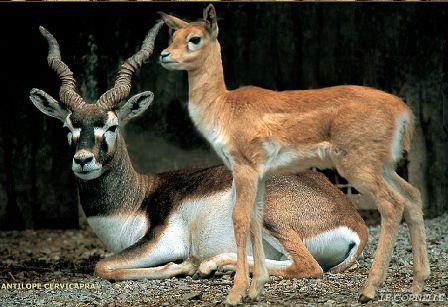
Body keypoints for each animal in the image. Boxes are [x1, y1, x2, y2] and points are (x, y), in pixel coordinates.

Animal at [29, 24, 370, 288]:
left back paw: (209, 264)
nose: (83, 160)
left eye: (112, 126)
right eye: (68, 126)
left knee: (308, 266)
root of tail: (356, 223)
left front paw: (182, 265)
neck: (137, 198)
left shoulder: (160, 241)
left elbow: (103, 266)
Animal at [160, 4, 430, 306]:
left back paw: (369, 289)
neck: (224, 107)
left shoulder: (244, 167)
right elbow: (254, 218)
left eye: (194, 38)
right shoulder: (259, 174)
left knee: (391, 205)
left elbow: (240, 218)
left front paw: (236, 293)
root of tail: (403, 112)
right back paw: (417, 284)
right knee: (413, 195)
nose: (164, 55)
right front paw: (254, 288)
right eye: (173, 35)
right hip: (383, 166)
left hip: (358, 166)